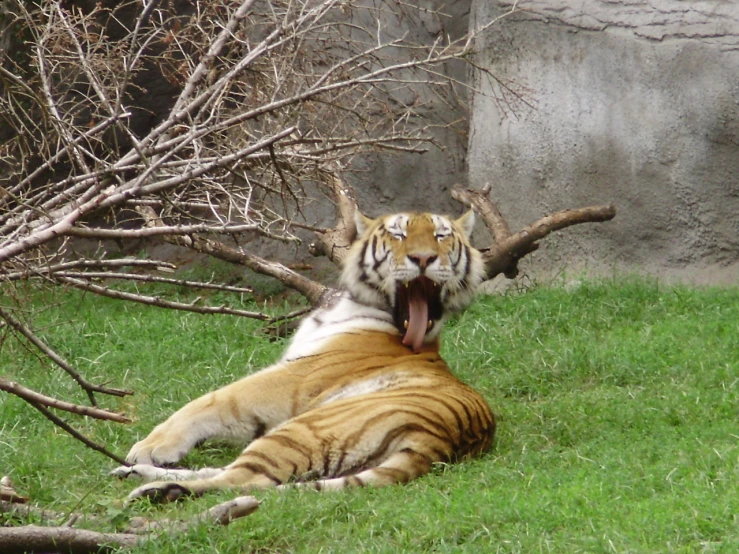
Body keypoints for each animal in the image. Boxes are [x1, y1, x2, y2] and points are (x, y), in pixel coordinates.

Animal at [112, 207, 498, 500]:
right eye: (399, 235)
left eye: (441, 236)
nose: (424, 258)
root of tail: (440, 440)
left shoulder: (293, 377)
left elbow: (212, 401)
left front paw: (151, 446)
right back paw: (136, 475)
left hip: (301, 428)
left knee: (246, 480)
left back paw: (158, 489)